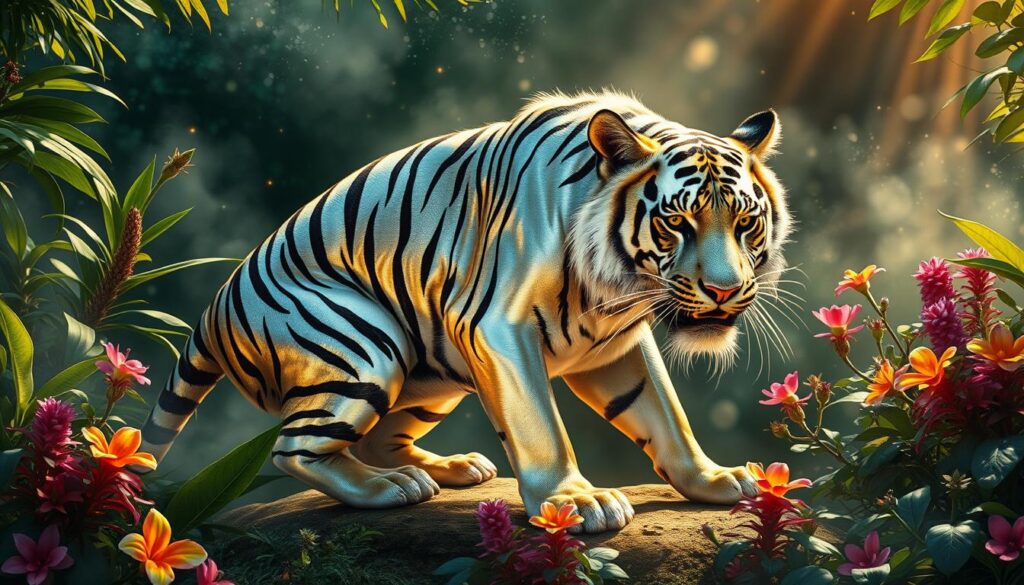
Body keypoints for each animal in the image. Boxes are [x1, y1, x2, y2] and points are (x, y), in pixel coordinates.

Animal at [139, 91, 792, 534]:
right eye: (676, 221)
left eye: (745, 222)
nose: (724, 291)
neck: (619, 288)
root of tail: (215, 306)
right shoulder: (497, 329)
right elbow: (540, 425)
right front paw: (575, 501)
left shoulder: (614, 343)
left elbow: (665, 415)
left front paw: (714, 479)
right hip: (368, 345)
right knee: (295, 447)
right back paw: (388, 488)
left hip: (434, 373)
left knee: (373, 438)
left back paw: (447, 468)